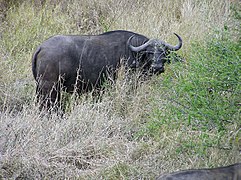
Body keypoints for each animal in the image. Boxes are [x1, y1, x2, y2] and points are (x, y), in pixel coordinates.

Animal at [32, 30, 183, 110]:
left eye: (164, 53)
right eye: (150, 52)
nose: (157, 67)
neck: (134, 53)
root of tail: (42, 47)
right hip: (50, 88)